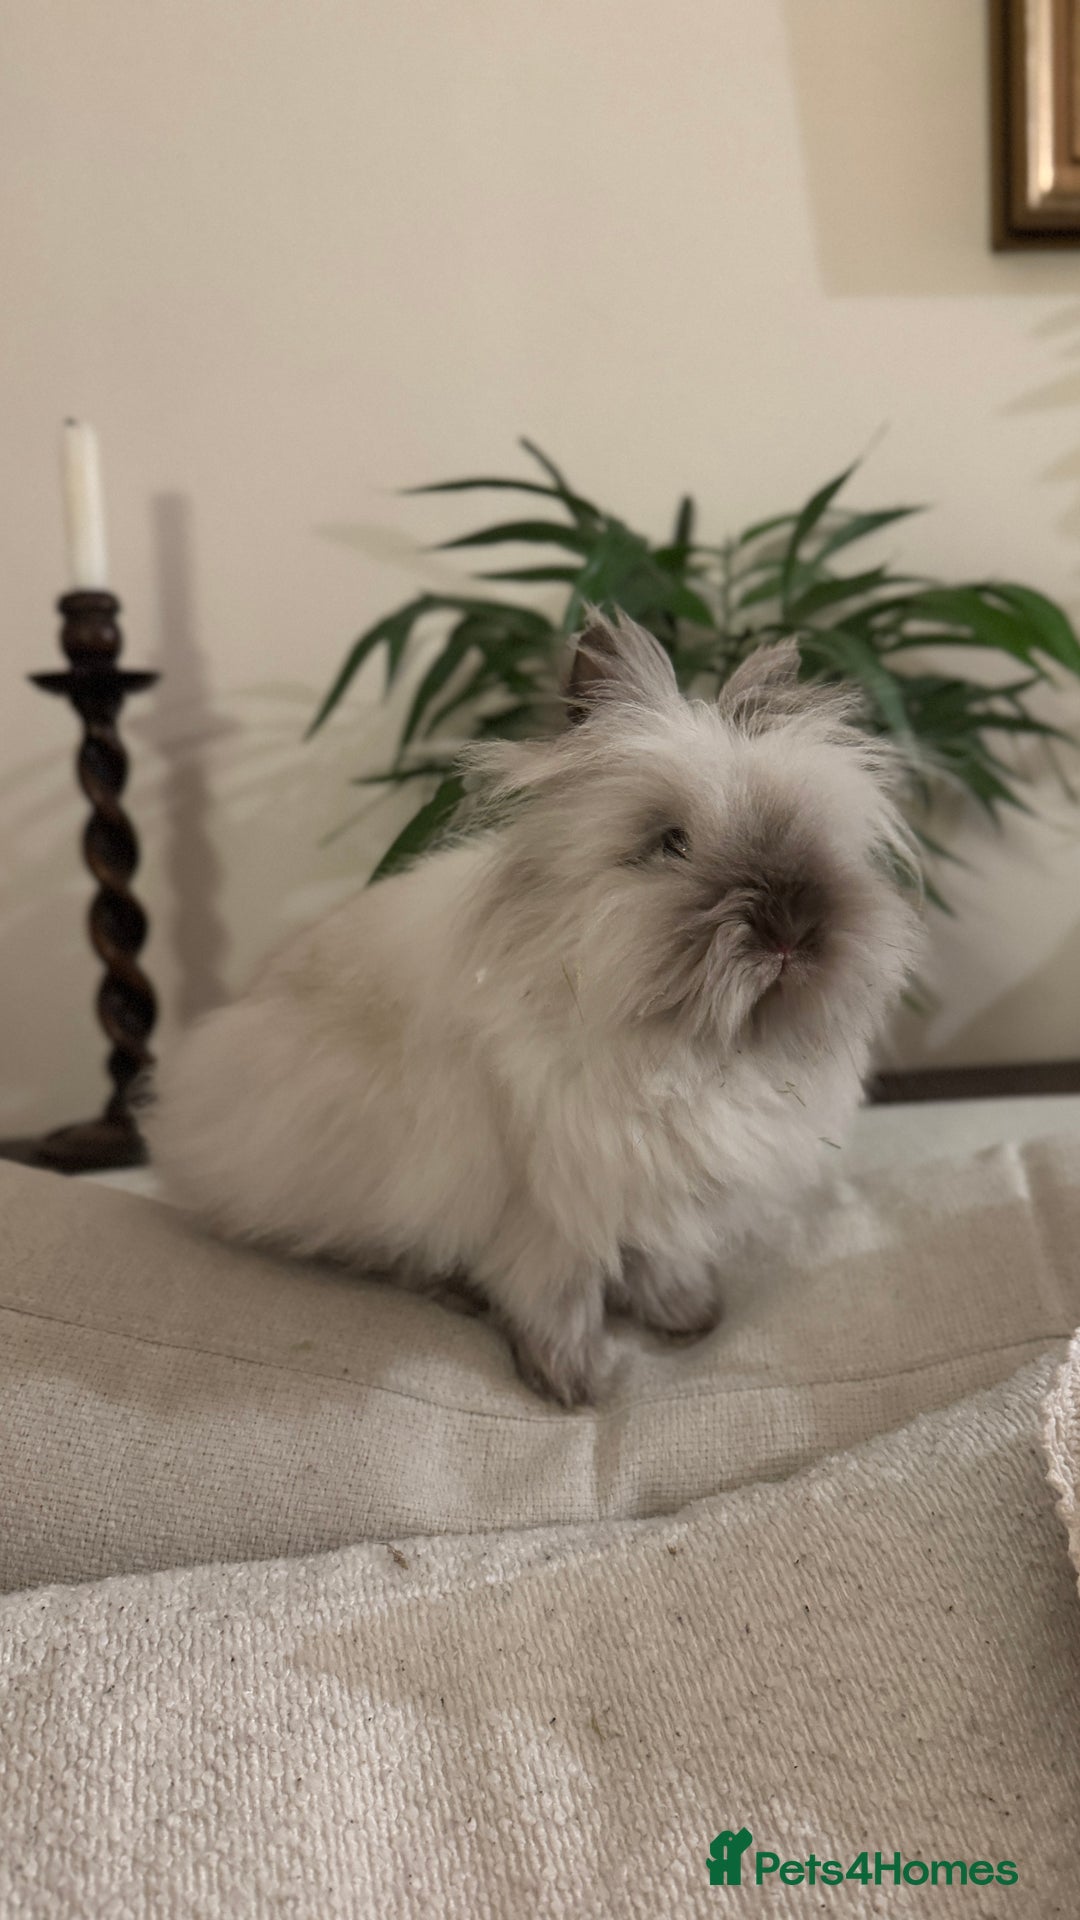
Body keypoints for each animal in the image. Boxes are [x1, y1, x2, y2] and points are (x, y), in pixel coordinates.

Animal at [148, 610, 920, 1406]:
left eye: (810, 835)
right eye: (670, 842)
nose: (791, 930)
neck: (686, 1046)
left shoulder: (657, 1188)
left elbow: (659, 1258)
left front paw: (686, 1317)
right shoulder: (553, 1207)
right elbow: (557, 1293)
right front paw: (574, 1383)